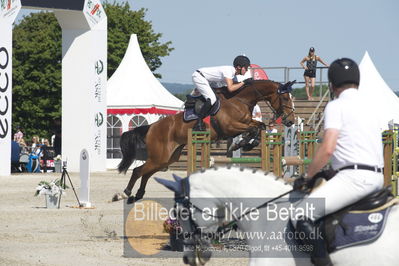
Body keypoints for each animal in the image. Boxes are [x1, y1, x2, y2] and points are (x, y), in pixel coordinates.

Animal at [112, 80, 296, 203]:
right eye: (286, 99)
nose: (291, 121)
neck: (240, 101)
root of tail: (151, 127)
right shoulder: (230, 127)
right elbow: (254, 128)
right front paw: (242, 143)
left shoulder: (245, 123)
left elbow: (259, 126)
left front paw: (247, 143)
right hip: (160, 156)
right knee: (138, 171)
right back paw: (124, 194)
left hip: (167, 158)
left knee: (146, 173)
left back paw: (138, 194)